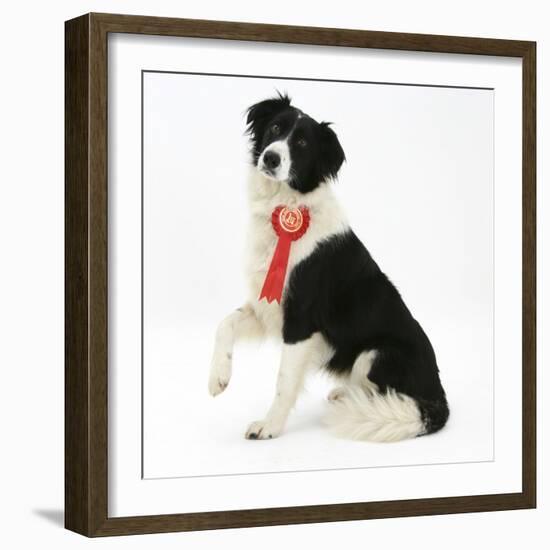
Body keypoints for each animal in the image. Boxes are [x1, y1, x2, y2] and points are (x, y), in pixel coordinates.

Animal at [209, 92, 450, 442]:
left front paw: (270, 426)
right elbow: (224, 324)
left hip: (374, 354)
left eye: (302, 143)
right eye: (275, 128)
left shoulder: (300, 320)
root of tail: (438, 400)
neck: (286, 204)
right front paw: (218, 377)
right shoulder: (267, 304)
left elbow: (283, 381)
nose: (271, 158)